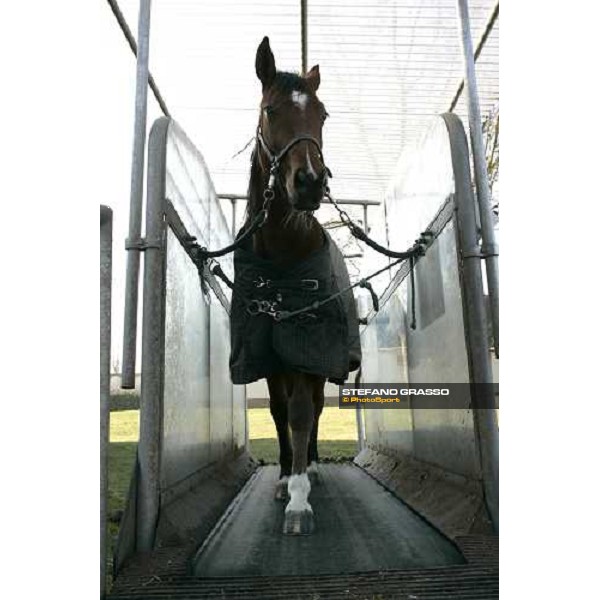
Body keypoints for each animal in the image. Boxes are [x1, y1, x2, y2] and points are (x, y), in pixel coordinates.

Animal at [229, 37, 358, 536]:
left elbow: (303, 415)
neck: (283, 256)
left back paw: (315, 466)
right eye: (270, 110)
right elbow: (280, 414)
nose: (309, 183)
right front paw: (285, 478)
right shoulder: (266, 352)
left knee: (318, 409)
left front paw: (300, 499)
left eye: (322, 114)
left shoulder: (309, 348)